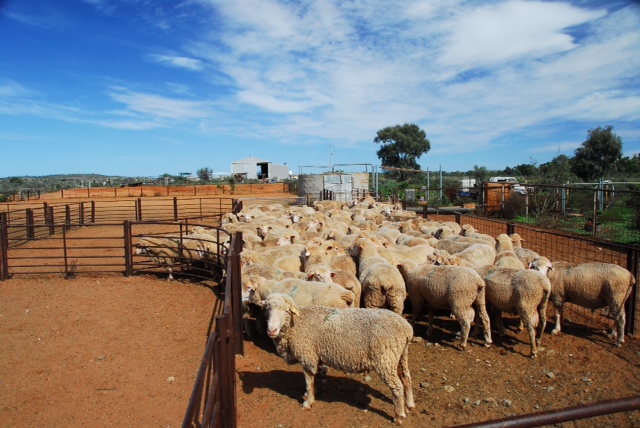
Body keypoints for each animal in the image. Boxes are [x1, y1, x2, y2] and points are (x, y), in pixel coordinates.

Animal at [260, 292, 416, 422]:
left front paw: (308, 402)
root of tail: (406, 328)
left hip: (385, 360)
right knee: (406, 378)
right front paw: (307, 396)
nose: (271, 330)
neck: (297, 324)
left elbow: (309, 381)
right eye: (267, 310)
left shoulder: (308, 356)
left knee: (397, 386)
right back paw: (409, 405)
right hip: (400, 355)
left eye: (286, 311)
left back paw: (399, 415)